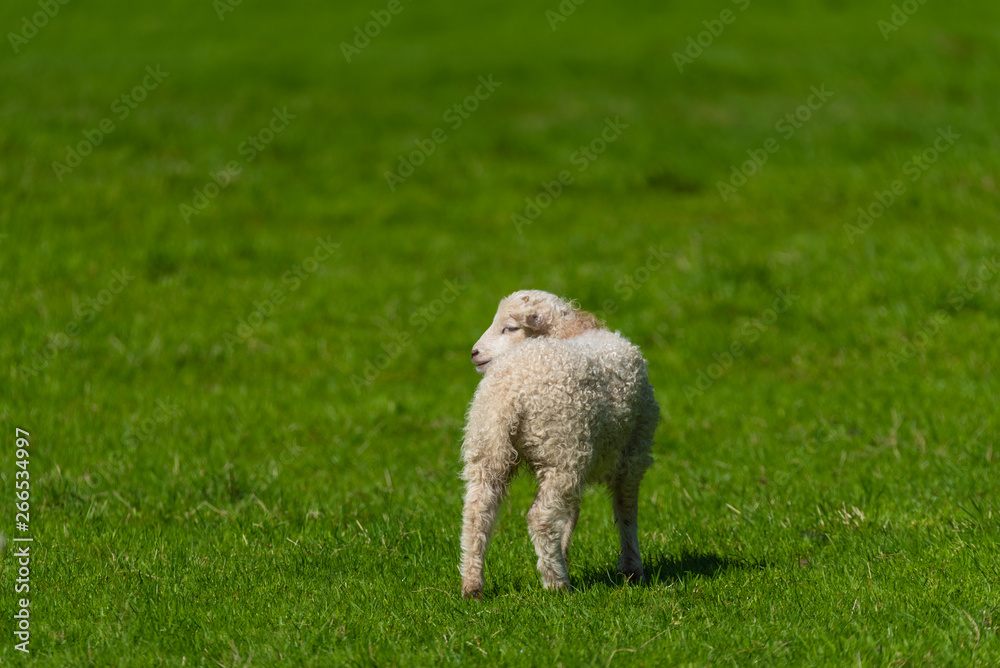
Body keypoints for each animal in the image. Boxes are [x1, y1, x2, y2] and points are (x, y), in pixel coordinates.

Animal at [460, 289, 659, 598]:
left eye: (510, 327)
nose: (474, 353)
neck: (572, 330)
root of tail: (510, 391)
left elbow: (571, 513)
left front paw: (564, 552)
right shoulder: (633, 452)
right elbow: (626, 512)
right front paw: (631, 568)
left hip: (489, 447)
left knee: (477, 513)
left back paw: (472, 584)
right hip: (563, 449)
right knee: (540, 518)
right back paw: (557, 583)